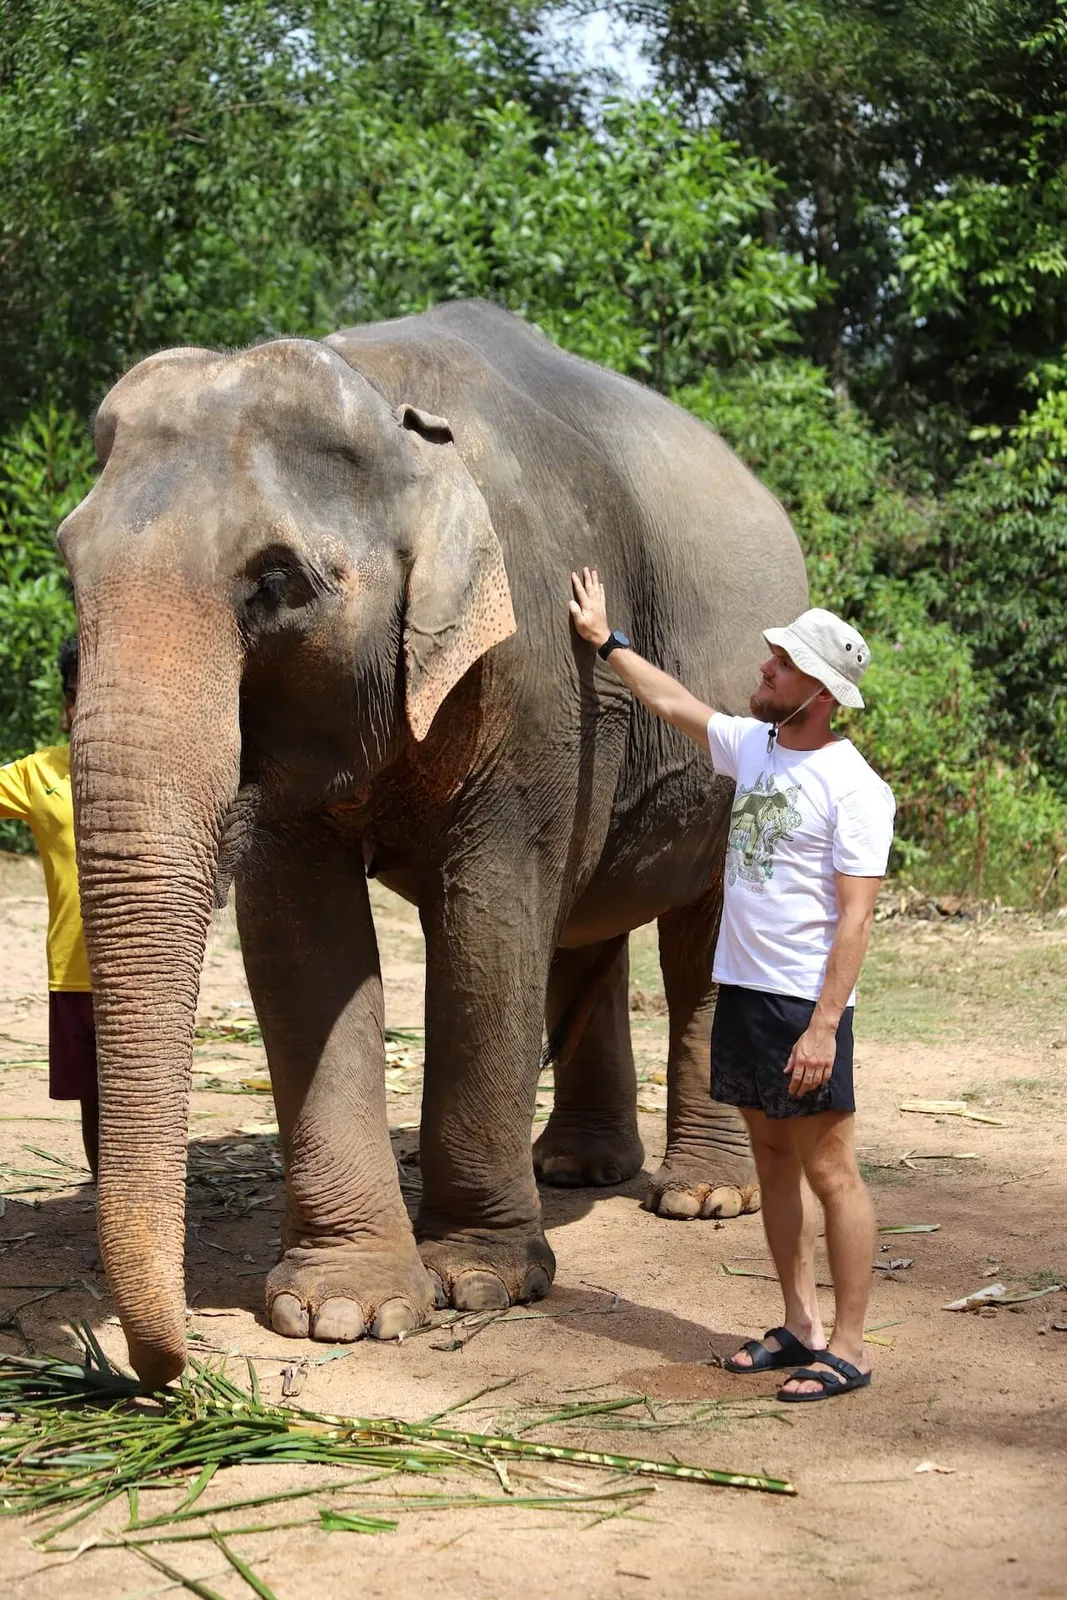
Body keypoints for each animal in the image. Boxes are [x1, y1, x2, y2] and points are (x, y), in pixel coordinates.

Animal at [59, 299, 807, 1387]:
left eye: (277, 584)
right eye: (68, 568)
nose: (168, 1373)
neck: (384, 398)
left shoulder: (536, 668)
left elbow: (488, 918)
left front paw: (478, 1284)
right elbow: (301, 938)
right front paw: (343, 1310)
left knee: (693, 926)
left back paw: (702, 1196)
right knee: (580, 922)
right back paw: (573, 1167)